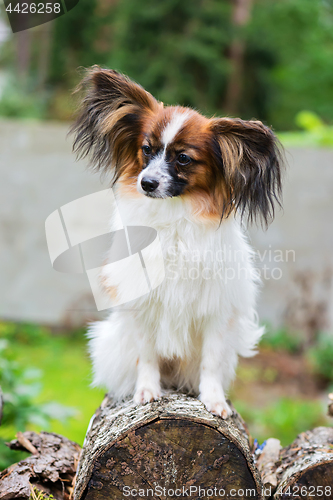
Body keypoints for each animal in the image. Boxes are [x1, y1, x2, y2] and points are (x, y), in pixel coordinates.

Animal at [71, 66, 282, 418]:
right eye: (146, 149)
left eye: (183, 158)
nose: (146, 183)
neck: (173, 216)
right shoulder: (143, 304)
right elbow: (146, 355)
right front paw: (146, 390)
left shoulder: (216, 309)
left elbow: (211, 361)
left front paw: (214, 400)